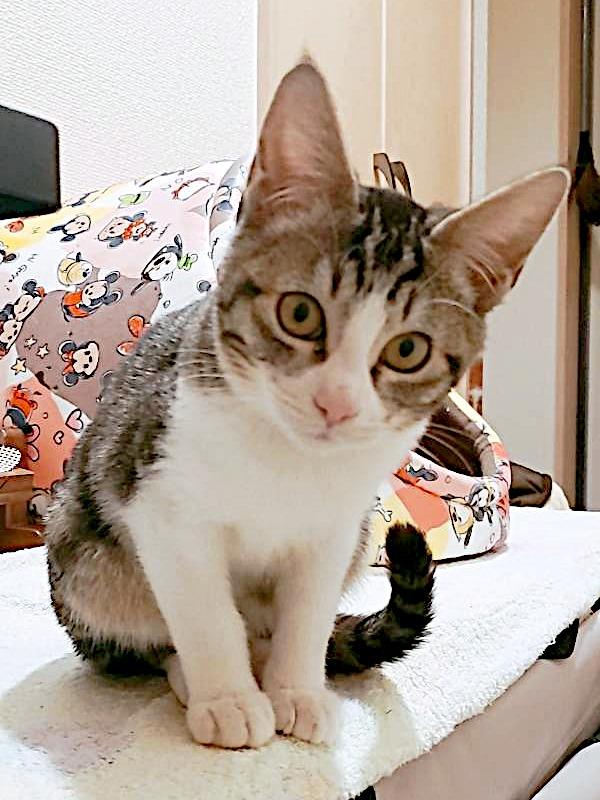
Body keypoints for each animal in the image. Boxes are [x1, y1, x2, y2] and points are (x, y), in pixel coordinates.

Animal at [45, 58, 569, 750]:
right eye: (300, 313)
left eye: (408, 349)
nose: (335, 403)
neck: (288, 461)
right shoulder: (162, 503)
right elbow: (205, 613)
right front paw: (230, 699)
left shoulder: (336, 528)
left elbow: (309, 612)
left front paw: (296, 690)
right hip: (85, 560)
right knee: (139, 632)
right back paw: (198, 675)